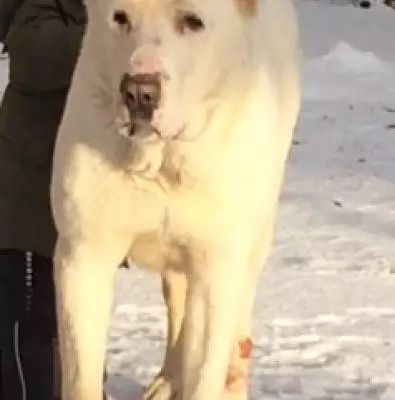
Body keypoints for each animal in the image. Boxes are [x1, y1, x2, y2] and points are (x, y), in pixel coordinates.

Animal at [51, 0, 302, 400]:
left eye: (193, 22)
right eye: (120, 18)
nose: (139, 92)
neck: (161, 163)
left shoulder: (216, 264)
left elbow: (205, 367)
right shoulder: (84, 254)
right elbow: (82, 376)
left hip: (253, 239)